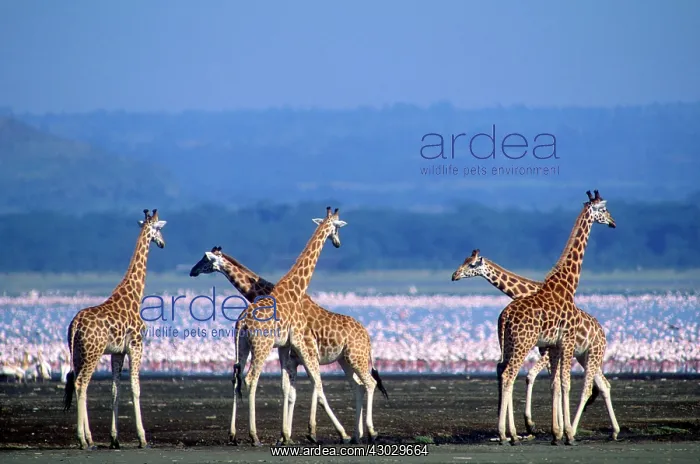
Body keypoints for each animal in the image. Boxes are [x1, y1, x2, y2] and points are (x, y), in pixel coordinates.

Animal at [63, 209, 166, 450]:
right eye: (159, 229)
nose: (162, 243)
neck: (134, 295)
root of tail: (75, 325)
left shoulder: (117, 352)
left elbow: (114, 390)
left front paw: (114, 438)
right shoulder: (136, 345)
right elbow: (135, 388)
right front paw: (142, 438)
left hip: (79, 353)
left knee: (80, 384)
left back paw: (90, 438)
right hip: (92, 353)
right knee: (81, 383)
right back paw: (82, 440)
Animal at [189, 246, 388, 445]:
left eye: (205, 259)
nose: (192, 271)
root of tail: (367, 335)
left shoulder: (304, 355)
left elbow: (311, 390)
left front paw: (310, 432)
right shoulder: (295, 359)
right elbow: (293, 392)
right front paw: (288, 435)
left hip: (355, 357)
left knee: (368, 383)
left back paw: (367, 432)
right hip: (344, 360)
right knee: (359, 386)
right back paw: (357, 434)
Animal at [452, 249, 620, 440]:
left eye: (472, 264)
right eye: (464, 260)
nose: (454, 275)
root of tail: (602, 331)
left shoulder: (547, 348)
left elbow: (535, 376)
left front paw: (534, 424)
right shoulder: (544, 348)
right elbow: (551, 381)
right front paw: (554, 427)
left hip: (590, 353)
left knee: (591, 386)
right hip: (583, 356)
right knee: (603, 385)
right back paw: (612, 431)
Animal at [494, 190, 616, 446]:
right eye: (603, 209)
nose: (613, 222)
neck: (567, 285)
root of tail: (505, 316)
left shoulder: (555, 345)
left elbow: (555, 383)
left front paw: (557, 432)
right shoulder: (566, 341)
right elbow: (565, 383)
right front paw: (567, 434)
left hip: (508, 344)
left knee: (502, 371)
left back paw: (509, 434)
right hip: (524, 343)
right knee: (509, 374)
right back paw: (506, 435)